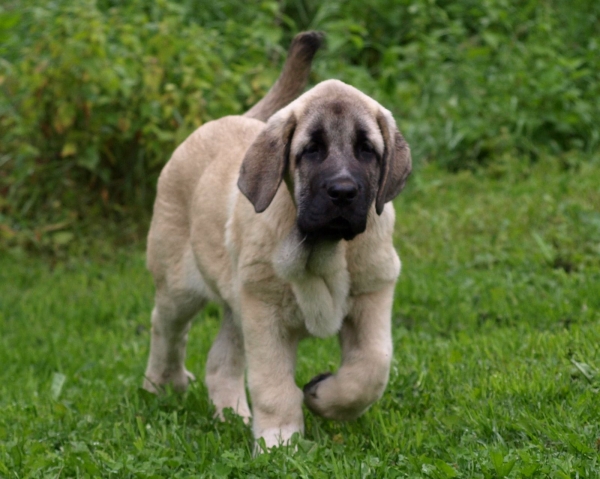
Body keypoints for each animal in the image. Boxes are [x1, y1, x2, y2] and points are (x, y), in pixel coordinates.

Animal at [143, 31, 410, 450]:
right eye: (311, 150)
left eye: (367, 150)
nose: (343, 192)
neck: (323, 249)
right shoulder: (265, 315)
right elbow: (273, 386)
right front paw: (280, 441)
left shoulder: (372, 296)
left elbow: (371, 369)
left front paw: (323, 396)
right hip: (179, 286)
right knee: (167, 328)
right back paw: (162, 384)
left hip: (237, 300)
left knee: (220, 361)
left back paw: (231, 414)